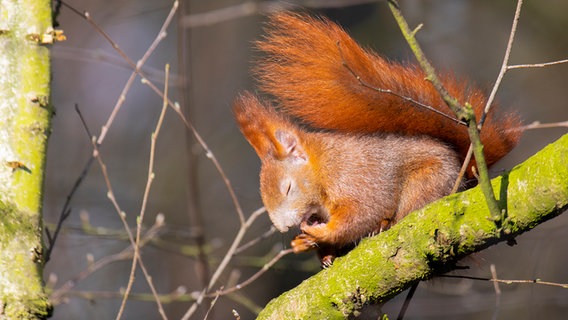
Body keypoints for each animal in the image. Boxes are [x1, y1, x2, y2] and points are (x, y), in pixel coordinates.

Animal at [232, 12, 520, 264]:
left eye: (288, 188)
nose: (284, 227)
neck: (321, 166)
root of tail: (468, 175)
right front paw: (311, 246)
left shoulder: (353, 175)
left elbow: (362, 212)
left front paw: (320, 234)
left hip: (427, 184)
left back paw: (385, 224)